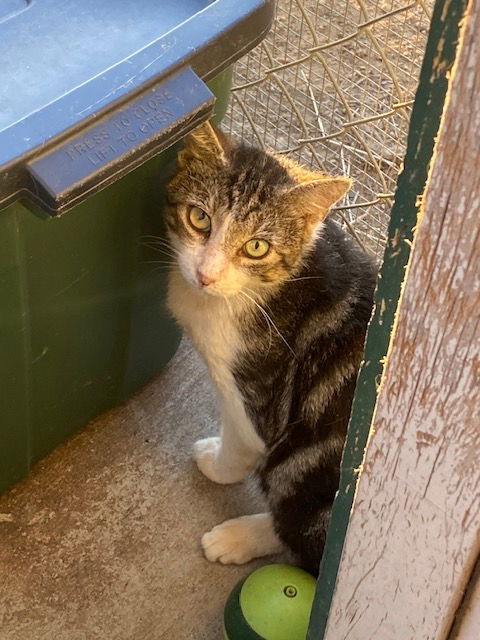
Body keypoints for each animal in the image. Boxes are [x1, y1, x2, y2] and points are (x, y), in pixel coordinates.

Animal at [165, 121, 378, 576]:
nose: (205, 275)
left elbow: (242, 443)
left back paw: (238, 537)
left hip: (307, 457)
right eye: (199, 217)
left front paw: (218, 465)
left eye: (256, 246)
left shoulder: (256, 395)